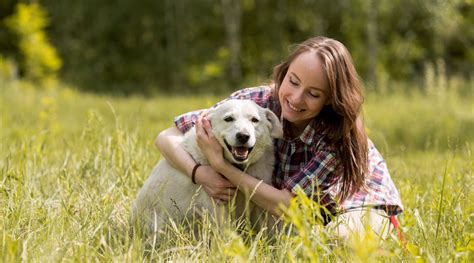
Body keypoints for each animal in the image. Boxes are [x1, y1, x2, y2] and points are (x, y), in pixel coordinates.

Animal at [131, 100, 282, 237]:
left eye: (255, 120)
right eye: (228, 118)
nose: (243, 136)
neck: (239, 168)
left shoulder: (261, 207)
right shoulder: (217, 207)